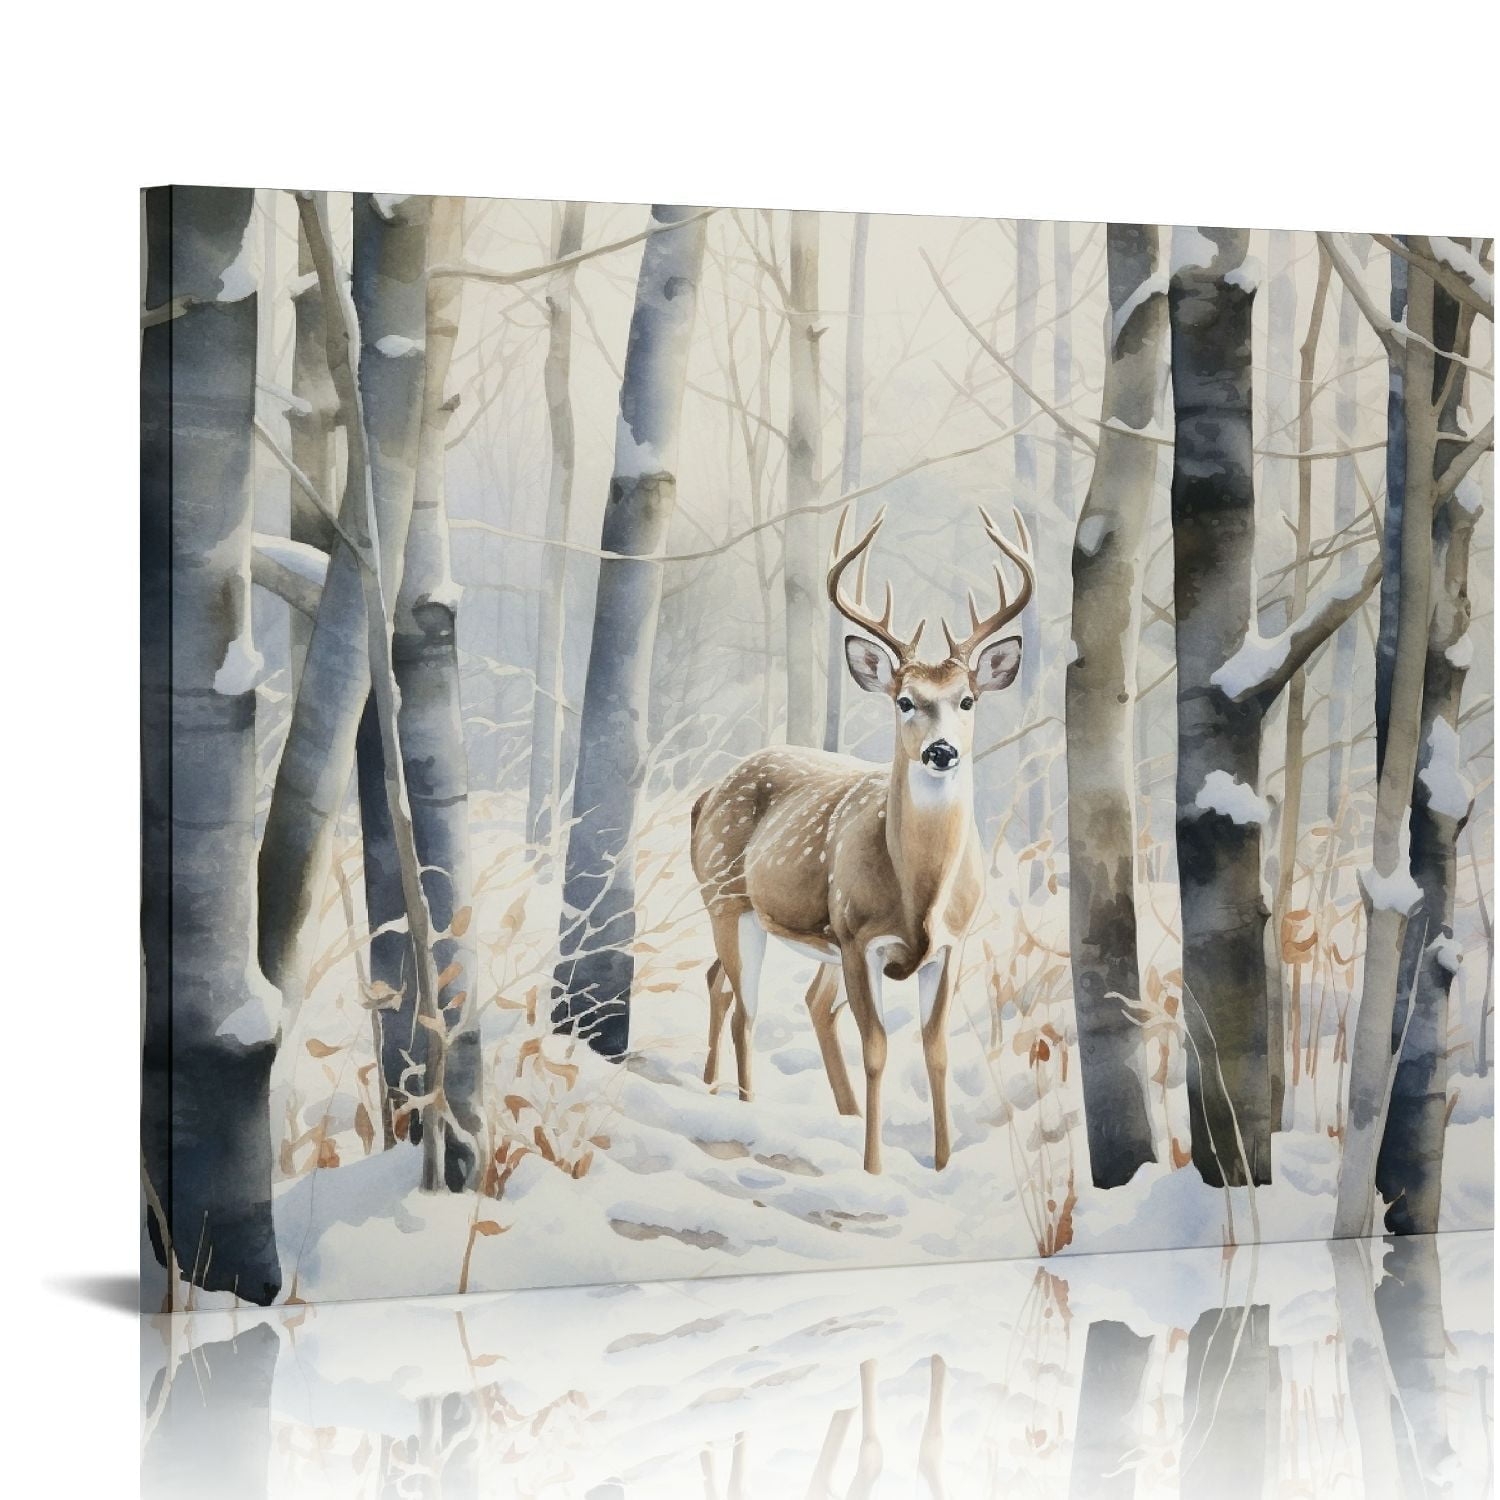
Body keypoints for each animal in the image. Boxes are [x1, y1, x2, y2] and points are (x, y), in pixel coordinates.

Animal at [689, 504, 1034, 1174]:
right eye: (904, 700)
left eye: (967, 700)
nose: (941, 751)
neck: (919, 895)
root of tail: (707, 794)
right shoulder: (856, 936)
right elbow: (876, 1047)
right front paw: (874, 1168)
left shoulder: (952, 945)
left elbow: (935, 1050)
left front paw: (943, 1163)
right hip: (729, 899)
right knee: (746, 1005)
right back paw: (747, 1106)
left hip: (775, 926)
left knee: (755, 990)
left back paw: (760, 1095)